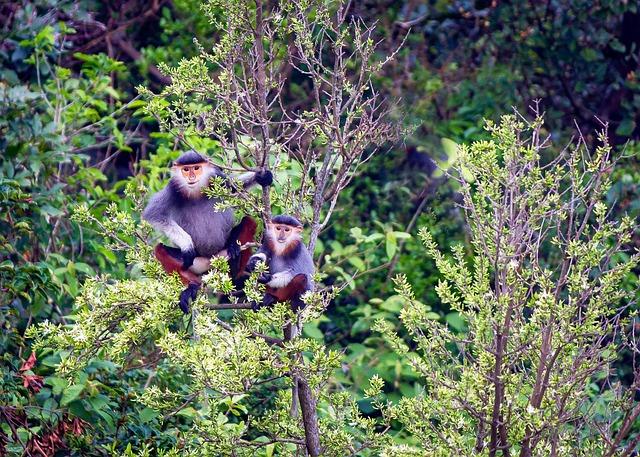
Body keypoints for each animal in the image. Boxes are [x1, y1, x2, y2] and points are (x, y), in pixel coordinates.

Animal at [142, 150, 272, 314]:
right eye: (186, 169)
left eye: (196, 168)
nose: (191, 177)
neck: (196, 190)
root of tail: (211, 260)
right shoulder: (172, 187)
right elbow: (154, 214)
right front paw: (187, 245)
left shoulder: (216, 177)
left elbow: (235, 187)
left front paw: (261, 177)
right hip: (195, 264)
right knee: (160, 250)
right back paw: (192, 288)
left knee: (249, 221)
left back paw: (235, 259)